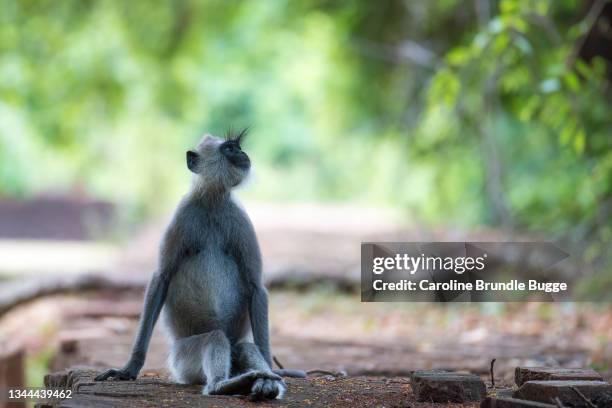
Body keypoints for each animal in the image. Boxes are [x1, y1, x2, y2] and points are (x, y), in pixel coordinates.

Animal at [95, 129, 304, 400]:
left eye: (238, 147)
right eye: (229, 149)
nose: (243, 154)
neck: (212, 202)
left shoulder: (239, 218)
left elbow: (256, 286)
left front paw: (271, 371)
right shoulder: (182, 215)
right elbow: (161, 278)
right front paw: (129, 368)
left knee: (245, 346)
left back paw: (263, 383)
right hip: (183, 360)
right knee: (214, 338)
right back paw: (224, 385)